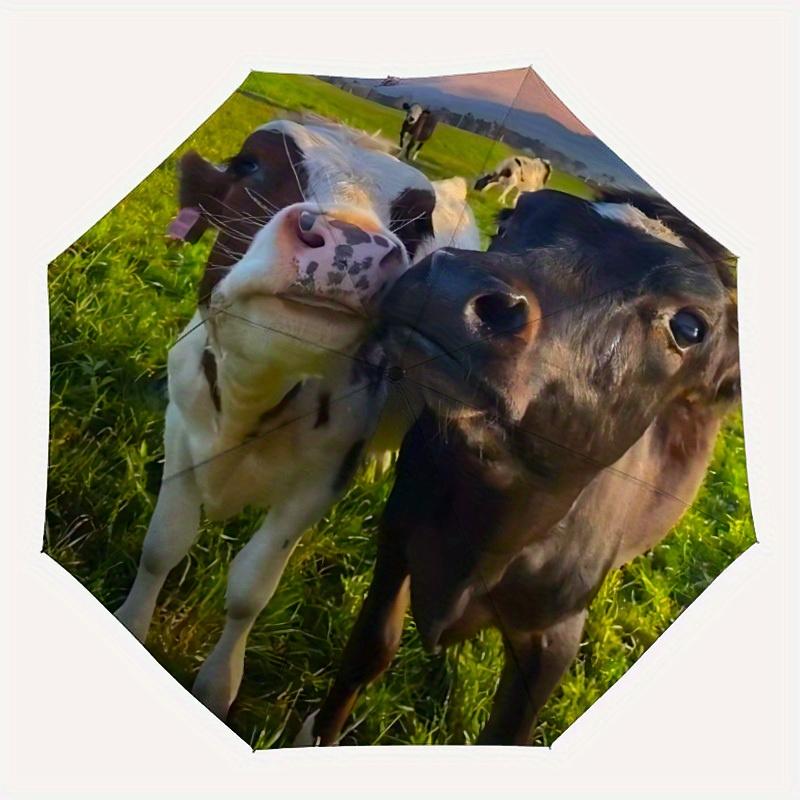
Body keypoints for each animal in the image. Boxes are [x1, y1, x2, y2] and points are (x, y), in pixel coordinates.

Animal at [113, 118, 480, 721]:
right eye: (249, 165)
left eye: (415, 221)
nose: (354, 244)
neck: (251, 401)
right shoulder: (181, 432)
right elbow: (161, 546)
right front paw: (132, 622)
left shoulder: (318, 485)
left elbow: (249, 590)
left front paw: (218, 683)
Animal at [298, 188, 739, 746]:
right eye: (510, 222)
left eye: (689, 326)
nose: (453, 284)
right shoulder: (398, 534)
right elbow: (370, 649)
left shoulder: (553, 633)